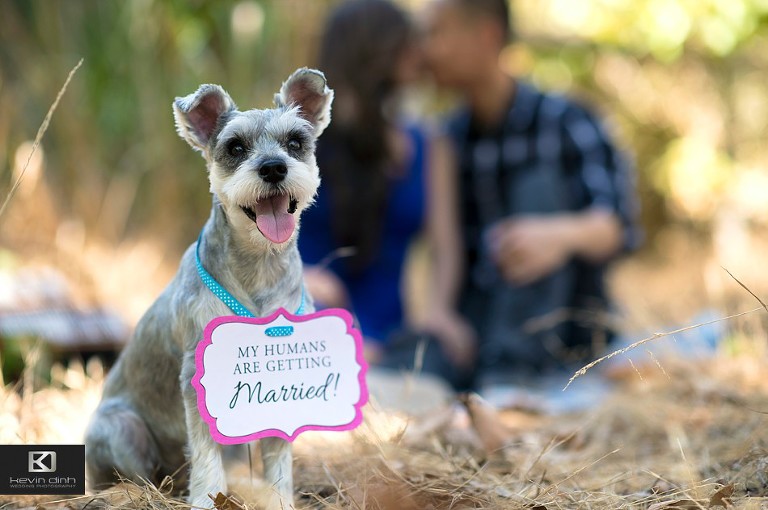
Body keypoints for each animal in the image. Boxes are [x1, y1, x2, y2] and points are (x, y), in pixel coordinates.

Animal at [85, 68, 334, 510]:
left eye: (295, 142)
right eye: (235, 147)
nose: (273, 167)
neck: (259, 265)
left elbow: (278, 455)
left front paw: (279, 497)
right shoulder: (195, 381)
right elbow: (204, 453)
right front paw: (206, 498)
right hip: (121, 429)